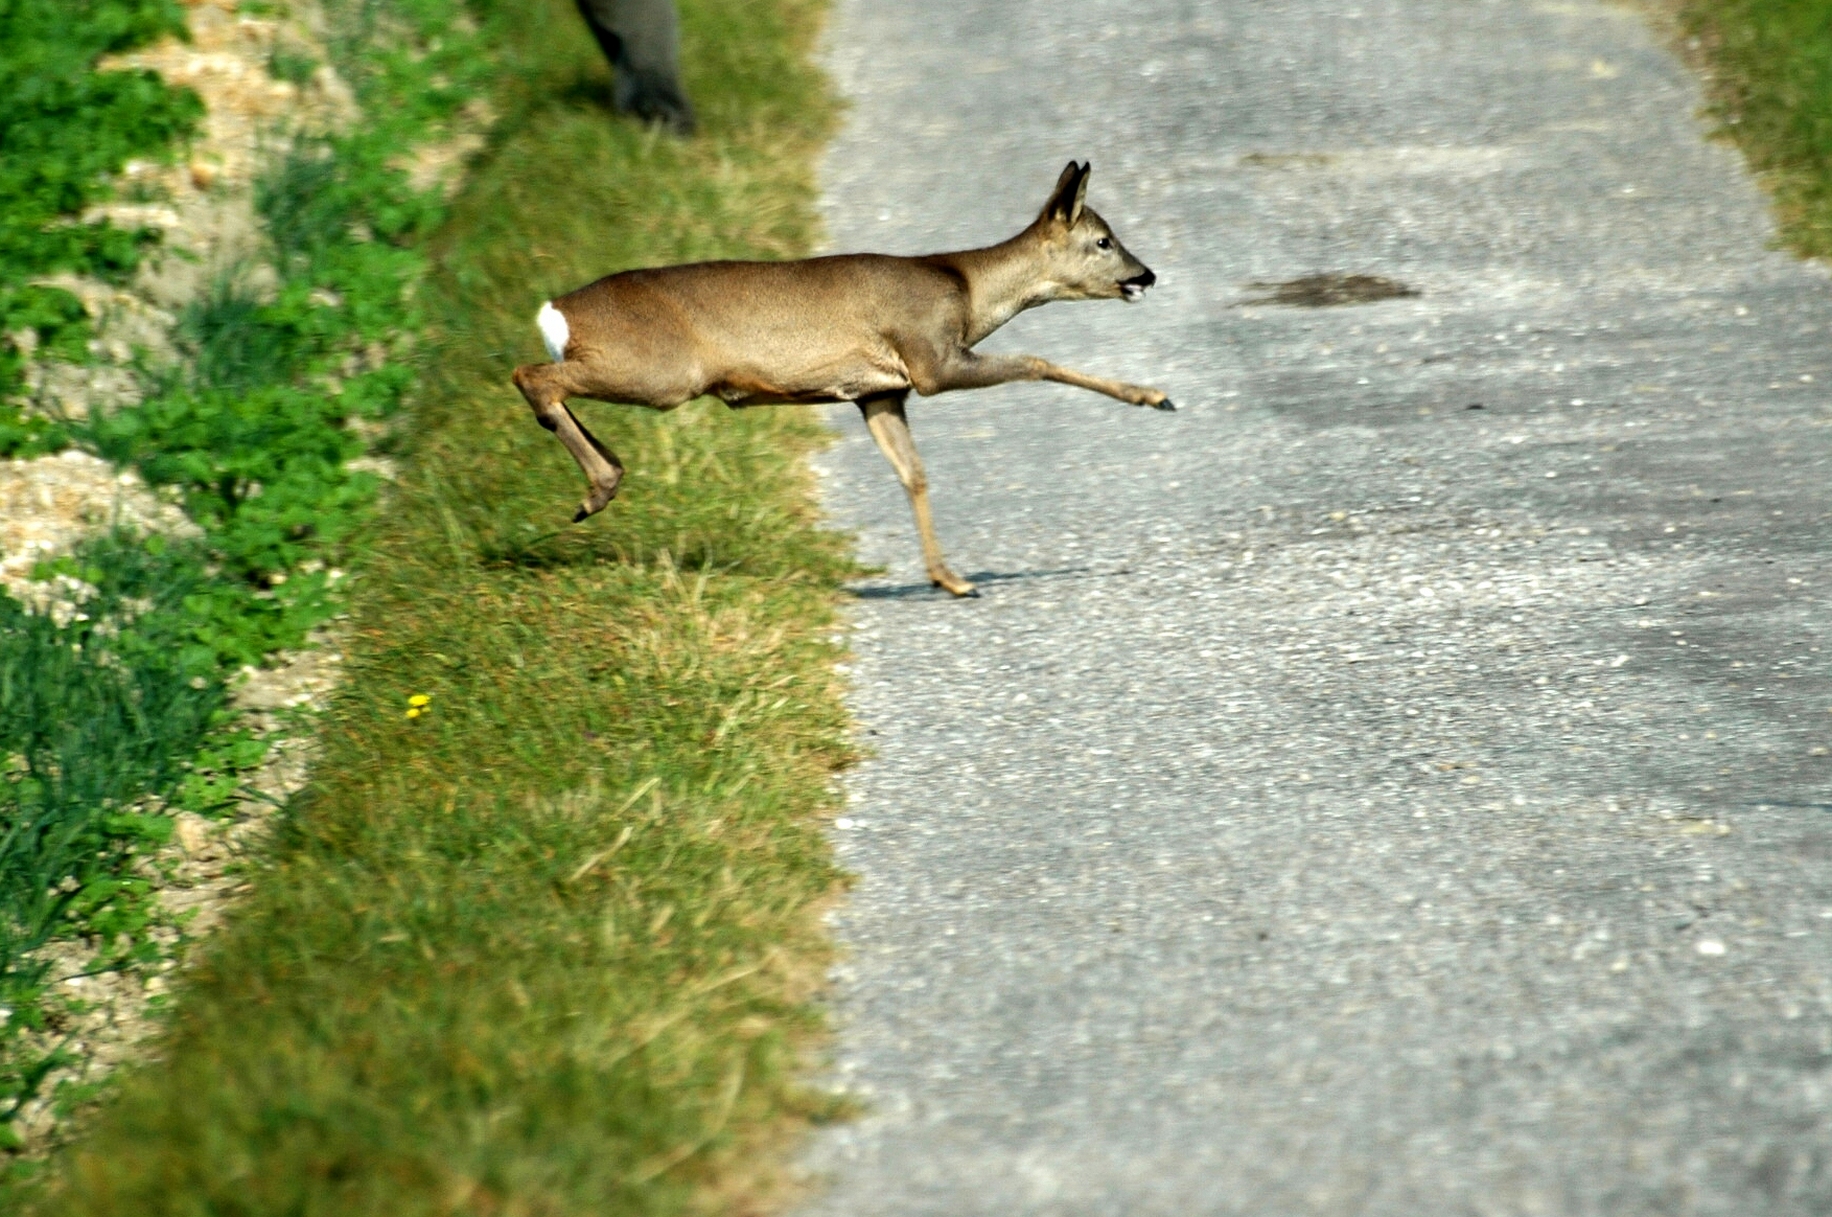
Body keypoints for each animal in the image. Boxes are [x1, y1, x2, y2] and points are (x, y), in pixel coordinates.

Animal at [512, 161, 1172, 597]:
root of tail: (557, 311)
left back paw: (603, 480)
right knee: (533, 373)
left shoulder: (880, 393)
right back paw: (597, 489)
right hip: (662, 372)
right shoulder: (930, 360)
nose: (1147, 274)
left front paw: (949, 578)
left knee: (544, 380)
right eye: (1103, 240)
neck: (967, 292)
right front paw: (1154, 396)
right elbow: (1037, 362)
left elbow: (914, 474)